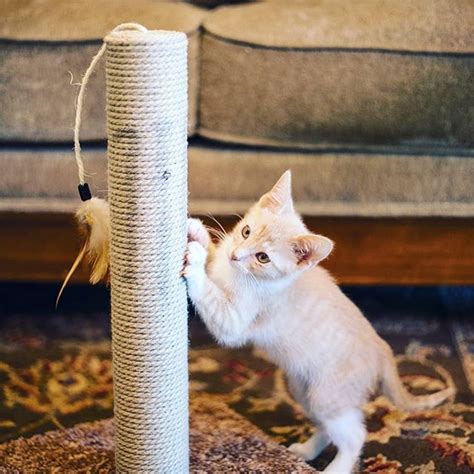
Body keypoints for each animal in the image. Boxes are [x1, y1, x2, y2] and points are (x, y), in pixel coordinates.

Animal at [183, 171, 454, 474]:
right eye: (246, 232)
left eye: (263, 258)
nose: (235, 255)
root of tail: (382, 347)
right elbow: (214, 259)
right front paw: (198, 234)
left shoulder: (237, 320)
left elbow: (214, 302)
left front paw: (196, 264)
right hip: (303, 389)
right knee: (327, 426)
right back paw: (308, 449)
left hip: (329, 394)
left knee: (354, 434)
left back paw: (336, 467)